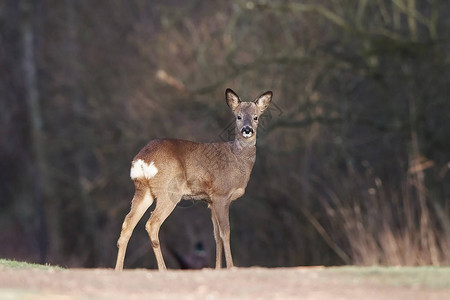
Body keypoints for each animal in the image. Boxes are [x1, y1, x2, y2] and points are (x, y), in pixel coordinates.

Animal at [114, 88, 272, 270]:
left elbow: (216, 236)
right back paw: (163, 269)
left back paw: (118, 270)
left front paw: (217, 268)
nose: (247, 129)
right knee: (152, 224)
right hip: (169, 191)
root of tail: (142, 159)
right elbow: (225, 232)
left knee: (127, 224)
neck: (237, 160)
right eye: (238, 116)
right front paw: (231, 267)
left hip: (143, 190)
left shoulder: (210, 201)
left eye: (256, 117)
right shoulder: (221, 194)